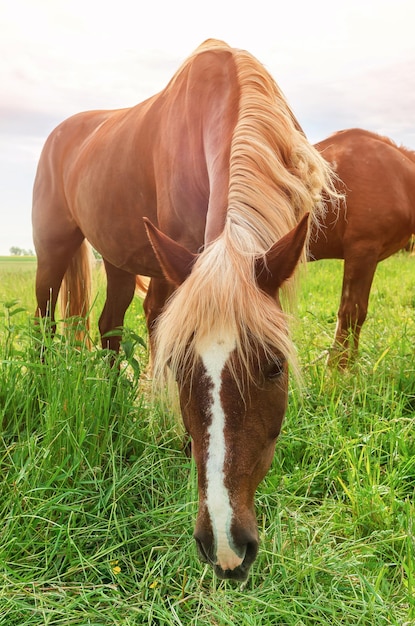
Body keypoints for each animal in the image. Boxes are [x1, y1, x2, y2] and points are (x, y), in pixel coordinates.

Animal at [32, 39, 338, 576]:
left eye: (275, 366)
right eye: (178, 368)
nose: (226, 546)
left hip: (116, 258)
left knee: (109, 328)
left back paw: (113, 402)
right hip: (52, 249)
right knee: (44, 322)